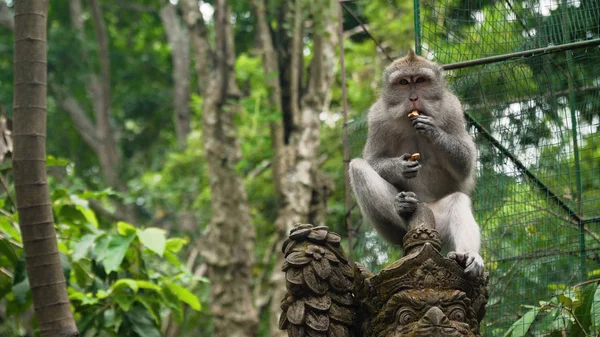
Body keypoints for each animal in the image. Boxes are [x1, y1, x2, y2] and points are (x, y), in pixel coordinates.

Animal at [352, 49, 482, 276]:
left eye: (420, 80)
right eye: (404, 82)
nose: (413, 98)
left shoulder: (452, 109)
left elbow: (466, 162)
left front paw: (432, 131)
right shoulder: (377, 117)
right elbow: (372, 159)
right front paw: (399, 167)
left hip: (438, 223)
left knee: (457, 201)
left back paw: (468, 255)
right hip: (400, 229)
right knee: (358, 167)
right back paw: (402, 207)